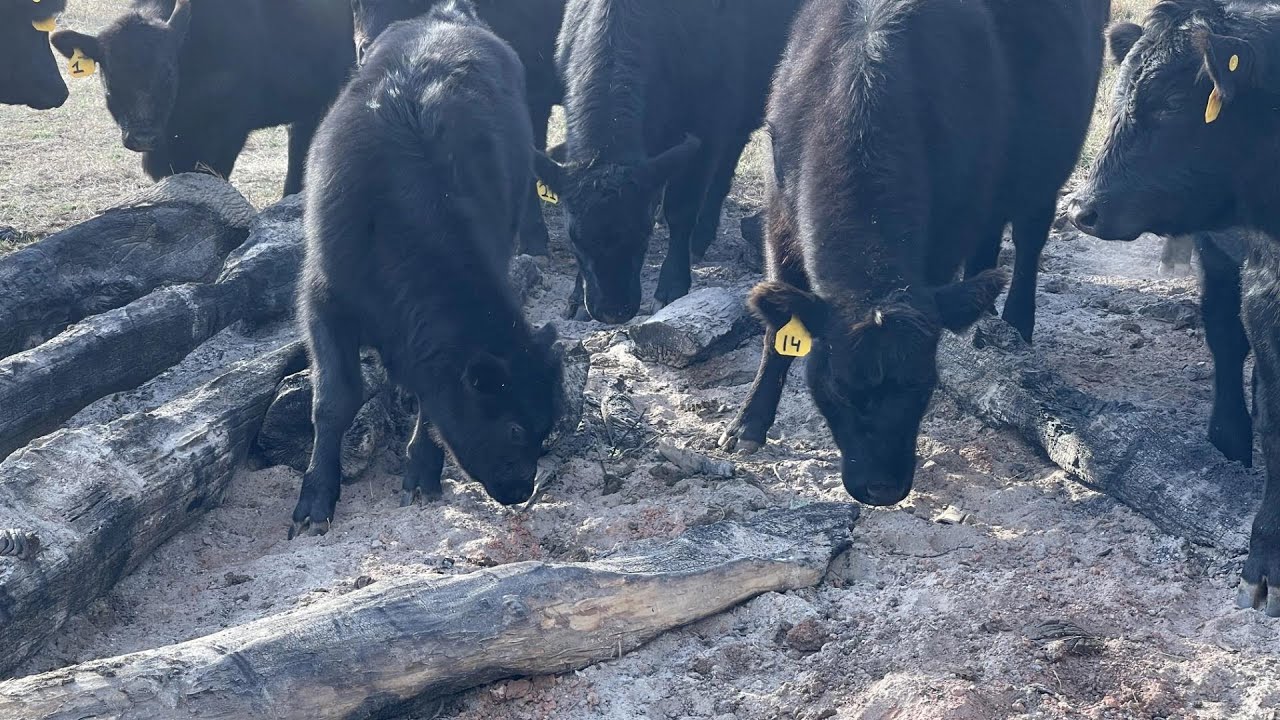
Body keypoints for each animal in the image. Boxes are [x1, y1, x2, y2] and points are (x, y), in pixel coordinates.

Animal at [532, 0, 806, 324]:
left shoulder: (706, 127)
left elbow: (681, 210)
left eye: (644, 233)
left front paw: (671, 287)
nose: (612, 311)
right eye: (573, 238)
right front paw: (576, 299)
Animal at [718, 0, 1109, 508]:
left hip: (1047, 161)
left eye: (924, 385)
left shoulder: (943, 235)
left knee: (1028, 238)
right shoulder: (780, 216)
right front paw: (748, 423)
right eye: (839, 388)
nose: (881, 489)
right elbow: (776, 335)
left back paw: (1016, 323)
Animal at [1068, 0, 1280, 616]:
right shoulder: (1266, 295)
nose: (1082, 208)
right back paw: (1228, 436)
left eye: (1168, 104)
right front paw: (1266, 565)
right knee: (1224, 337)